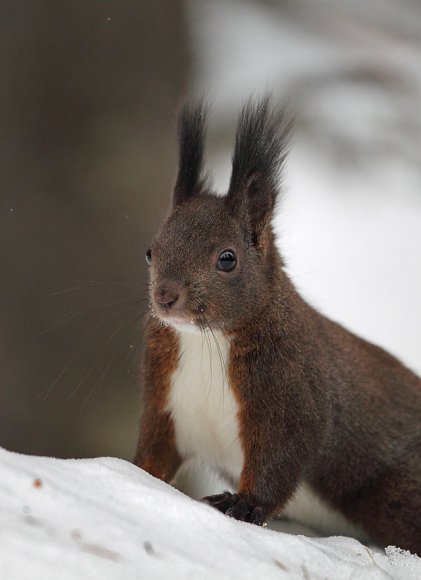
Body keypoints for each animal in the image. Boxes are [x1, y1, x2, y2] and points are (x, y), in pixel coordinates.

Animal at [135, 96, 420, 552]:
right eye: (150, 251)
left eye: (227, 258)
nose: (165, 296)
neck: (205, 340)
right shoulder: (164, 399)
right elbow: (153, 451)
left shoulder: (292, 392)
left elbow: (280, 458)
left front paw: (243, 504)